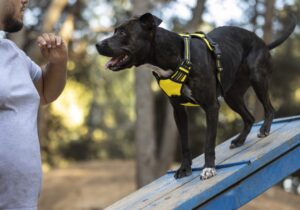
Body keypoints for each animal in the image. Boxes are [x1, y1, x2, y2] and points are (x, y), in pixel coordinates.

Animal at [95, 12, 296, 179]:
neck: (174, 57)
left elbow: (208, 142)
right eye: (114, 30)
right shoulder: (178, 111)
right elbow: (184, 144)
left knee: (270, 108)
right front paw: (185, 169)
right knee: (249, 117)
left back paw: (265, 129)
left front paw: (208, 169)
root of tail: (262, 42)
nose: (97, 44)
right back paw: (239, 140)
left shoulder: (211, 107)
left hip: (257, 77)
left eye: (122, 33)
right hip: (232, 96)